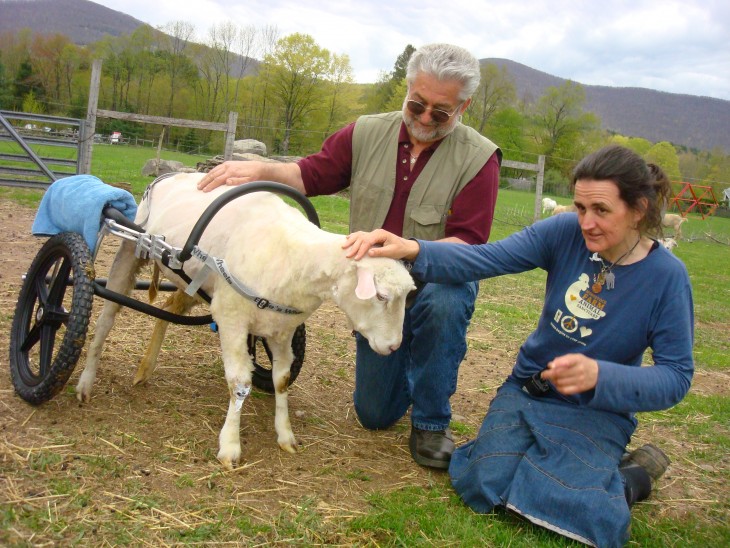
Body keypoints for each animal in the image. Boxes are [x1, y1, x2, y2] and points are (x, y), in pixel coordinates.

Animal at [77, 173, 416, 468]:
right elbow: (239, 383)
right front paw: (229, 446)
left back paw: (145, 369)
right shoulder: (232, 318)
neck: (295, 256)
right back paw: (85, 382)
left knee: (168, 307)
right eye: (381, 296)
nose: (394, 346)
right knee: (106, 317)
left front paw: (285, 435)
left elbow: (281, 379)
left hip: (192, 282)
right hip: (130, 249)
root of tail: (170, 175)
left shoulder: (281, 330)